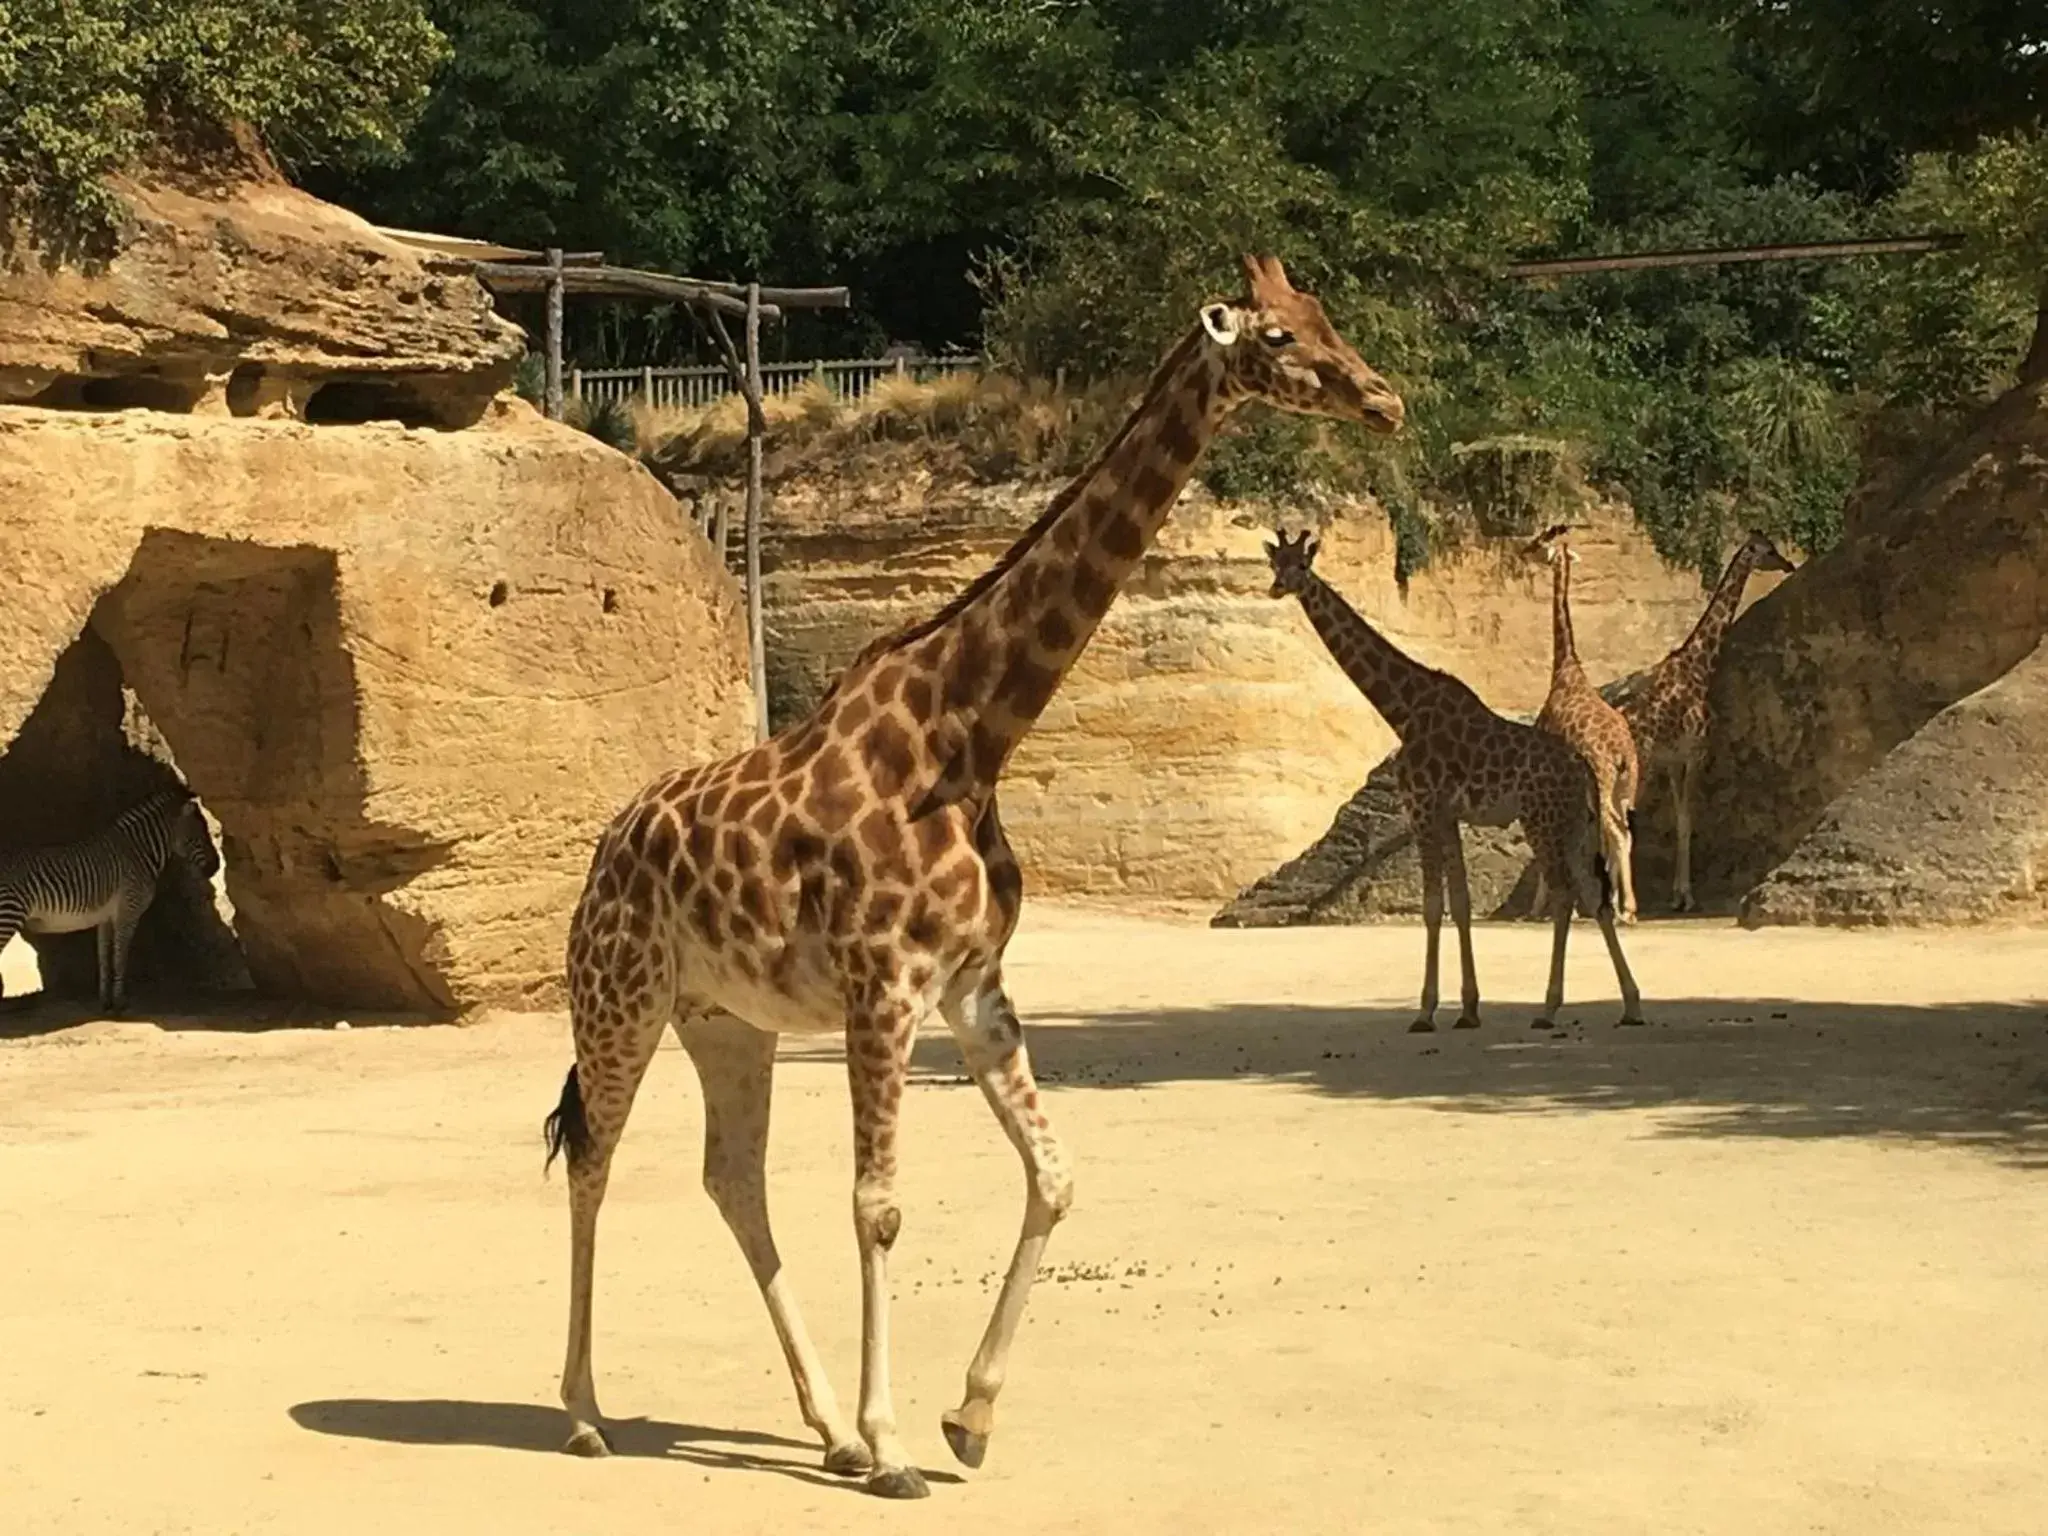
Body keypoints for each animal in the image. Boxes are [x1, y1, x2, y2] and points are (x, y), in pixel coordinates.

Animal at [0, 786, 222, 1015]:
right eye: (198, 835)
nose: (216, 867)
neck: (138, 853)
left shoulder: (105, 918)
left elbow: (104, 959)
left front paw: (105, 1001)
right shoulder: (127, 911)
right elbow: (120, 957)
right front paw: (119, 1002)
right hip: (8, 915)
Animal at [544, 256, 1409, 1507]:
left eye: (1328, 317)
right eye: (1284, 338)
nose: (1385, 400)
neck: (968, 735)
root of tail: (606, 848)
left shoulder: (972, 984)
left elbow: (1053, 1176)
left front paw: (965, 1418)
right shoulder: (883, 987)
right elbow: (880, 1207)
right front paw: (899, 1445)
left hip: (726, 1019)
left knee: (731, 1179)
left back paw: (822, 1430)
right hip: (619, 998)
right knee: (594, 1162)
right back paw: (584, 1415)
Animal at [1261, 528, 1646, 1036]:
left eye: (1301, 565)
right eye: (1275, 564)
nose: (1277, 588)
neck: (1402, 710)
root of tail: (1583, 769)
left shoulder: (1423, 807)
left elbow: (1431, 905)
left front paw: (1426, 1012)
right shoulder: (1447, 814)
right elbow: (1459, 902)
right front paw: (1467, 1009)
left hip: (1541, 821)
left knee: (1566, 893)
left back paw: (1548, 1009)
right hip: (1576, 826)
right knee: (1592, 894)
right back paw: (1631, 1004)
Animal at [1613, 532, 1794, 913]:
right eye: (1768, 550)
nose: (1788, 564)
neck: (1699, 667)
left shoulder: (1672, 760)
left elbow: (1681, 817)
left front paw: (1676, 895)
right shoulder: (1696, 752)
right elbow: (1687, 821)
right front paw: (1686, 897)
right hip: (1638, 768)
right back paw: (1620, 904)